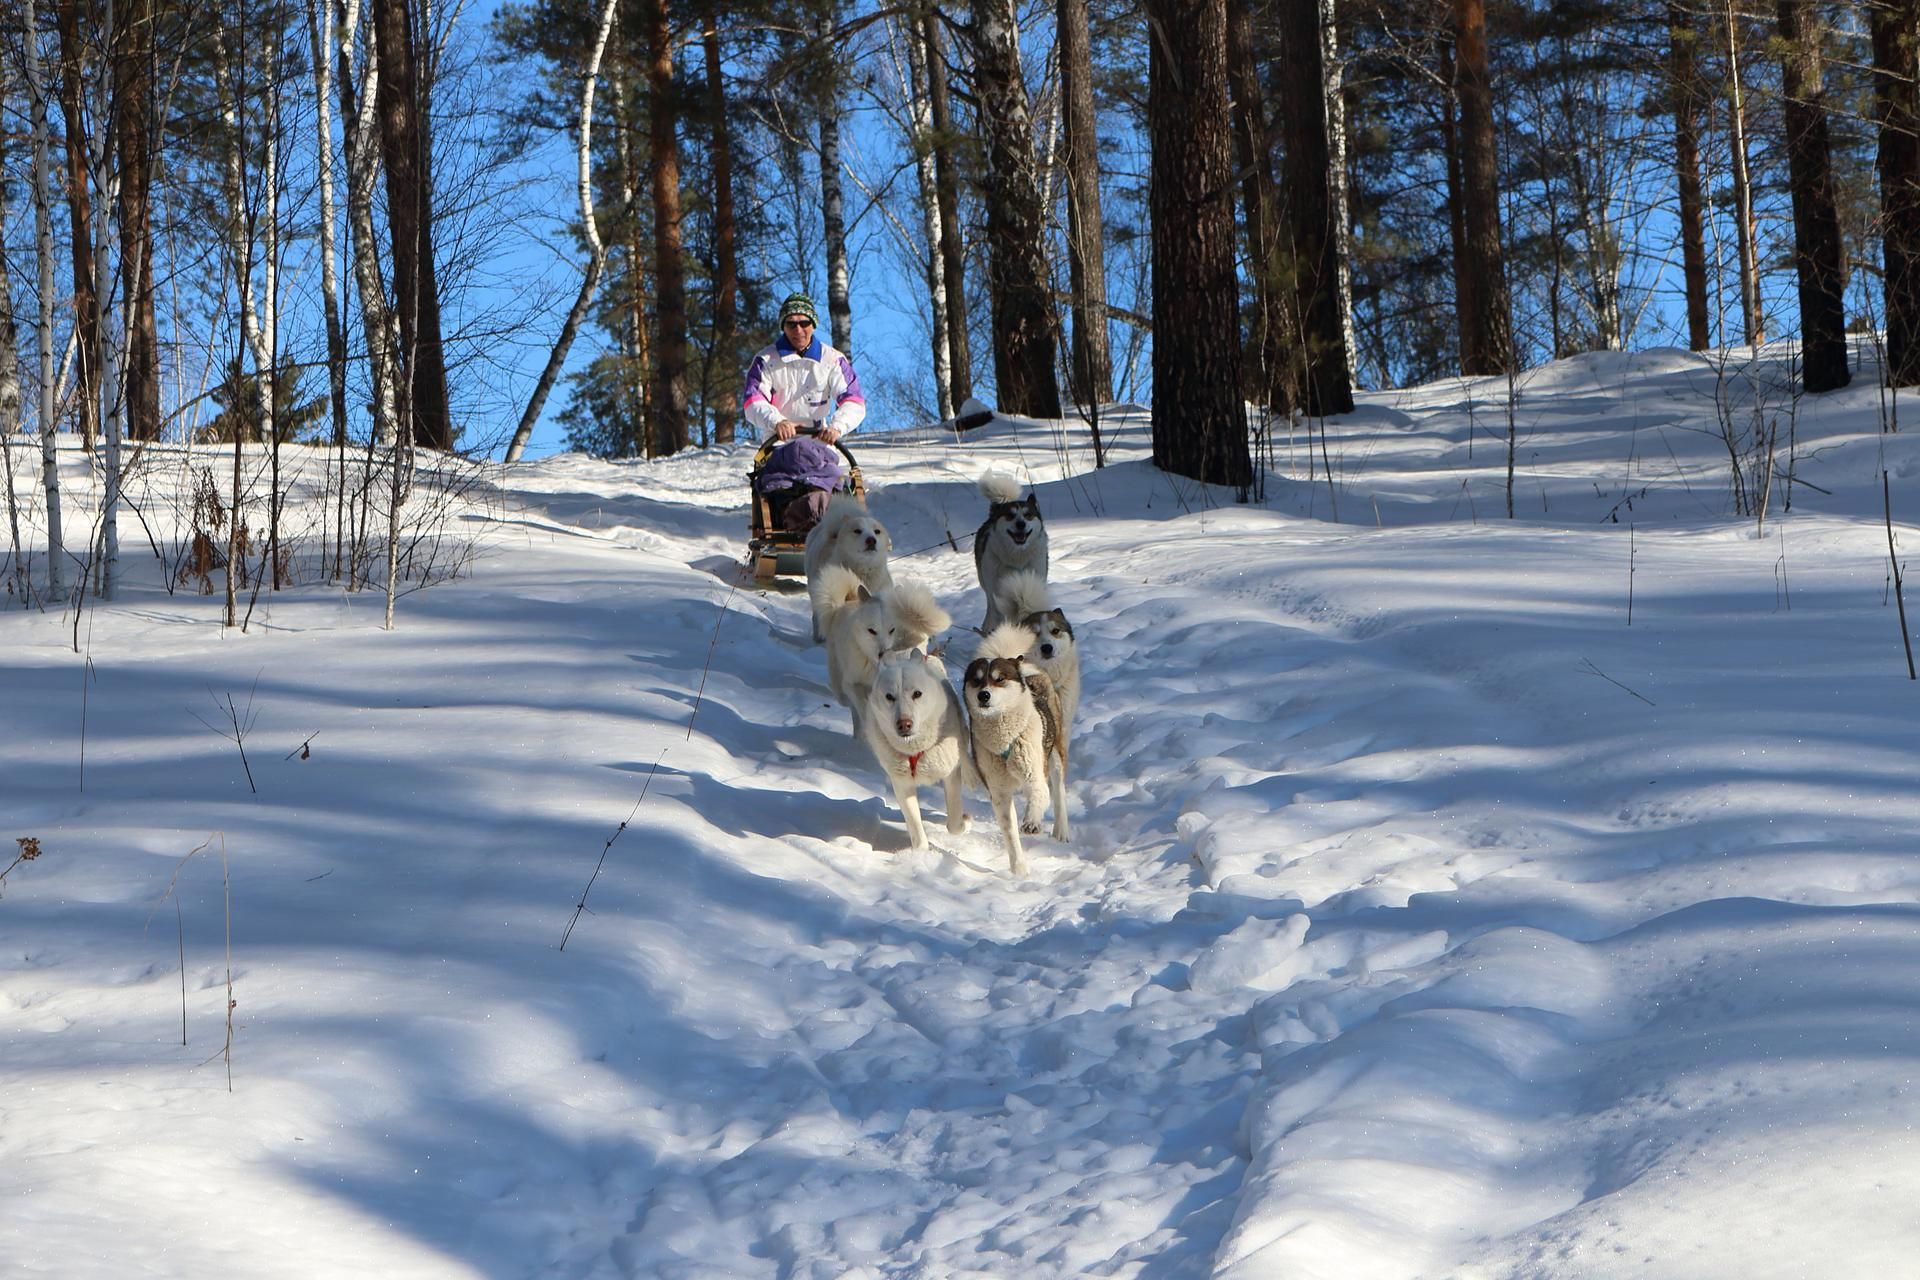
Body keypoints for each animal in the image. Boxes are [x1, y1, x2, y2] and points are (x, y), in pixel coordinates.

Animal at [817, 564, 952, 725]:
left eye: (892, 630)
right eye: (871, 631)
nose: (883, 653)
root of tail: (846, 603)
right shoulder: (851, 684)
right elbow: (863, 705)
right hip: (839, 684)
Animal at [860, 652, 975, 852]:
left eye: (917, 694)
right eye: (889, 696)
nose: (904, 724)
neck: (915, 749)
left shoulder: (950, 773)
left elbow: (954, 822)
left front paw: (965, 821)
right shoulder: (902, 783)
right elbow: (915, 827)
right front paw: (920, 853)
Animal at [956, 656, 1067, 875]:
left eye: (1000, 678)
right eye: (976, 680)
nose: (983, 695)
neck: (1004, 740)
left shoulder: (1034, 774)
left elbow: (1039, 795)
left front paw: (1032, 822)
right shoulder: (998, 792)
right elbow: (1010, 832)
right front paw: (1019, 869)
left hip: (1056, 754)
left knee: (1059, 791)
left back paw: (1061, 831)